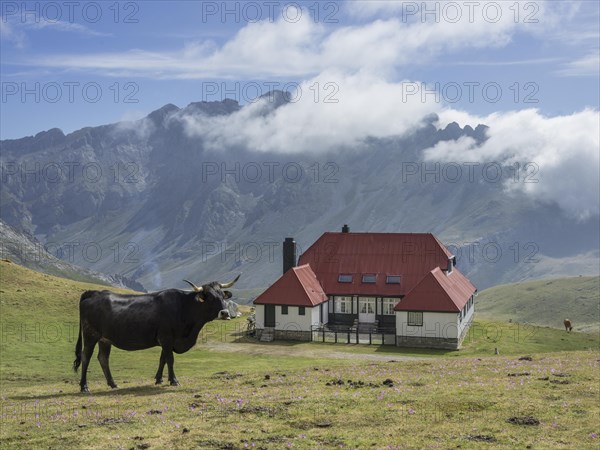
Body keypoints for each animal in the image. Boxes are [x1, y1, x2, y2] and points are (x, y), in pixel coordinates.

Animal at [71, 272, 238, 392]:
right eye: (209, 297)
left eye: (222, 296)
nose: (225, 313)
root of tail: (94, 293)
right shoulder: (166, 337)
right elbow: (170, 359)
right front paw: (174, 380)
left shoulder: (167, 340)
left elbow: (162, 358)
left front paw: (159, 379)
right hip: (91, 335)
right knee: (86, 357)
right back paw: (84, 386)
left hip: (105, 339)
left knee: (103, 358)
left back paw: (113, 384)